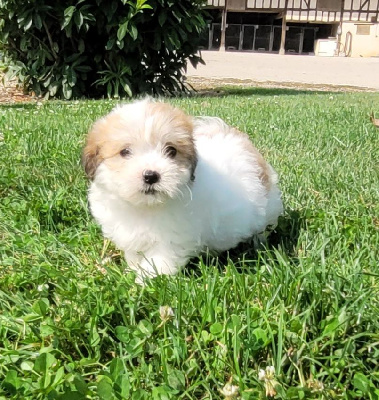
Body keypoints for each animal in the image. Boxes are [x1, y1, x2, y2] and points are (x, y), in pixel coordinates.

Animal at [84, 100, 284, 282]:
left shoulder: (172, 240)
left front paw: (145, 280)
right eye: (125, 151)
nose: (151, 175)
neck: (146, 207)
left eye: (171, 151)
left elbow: (159, 260)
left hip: (267, 210)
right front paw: (132, 270)